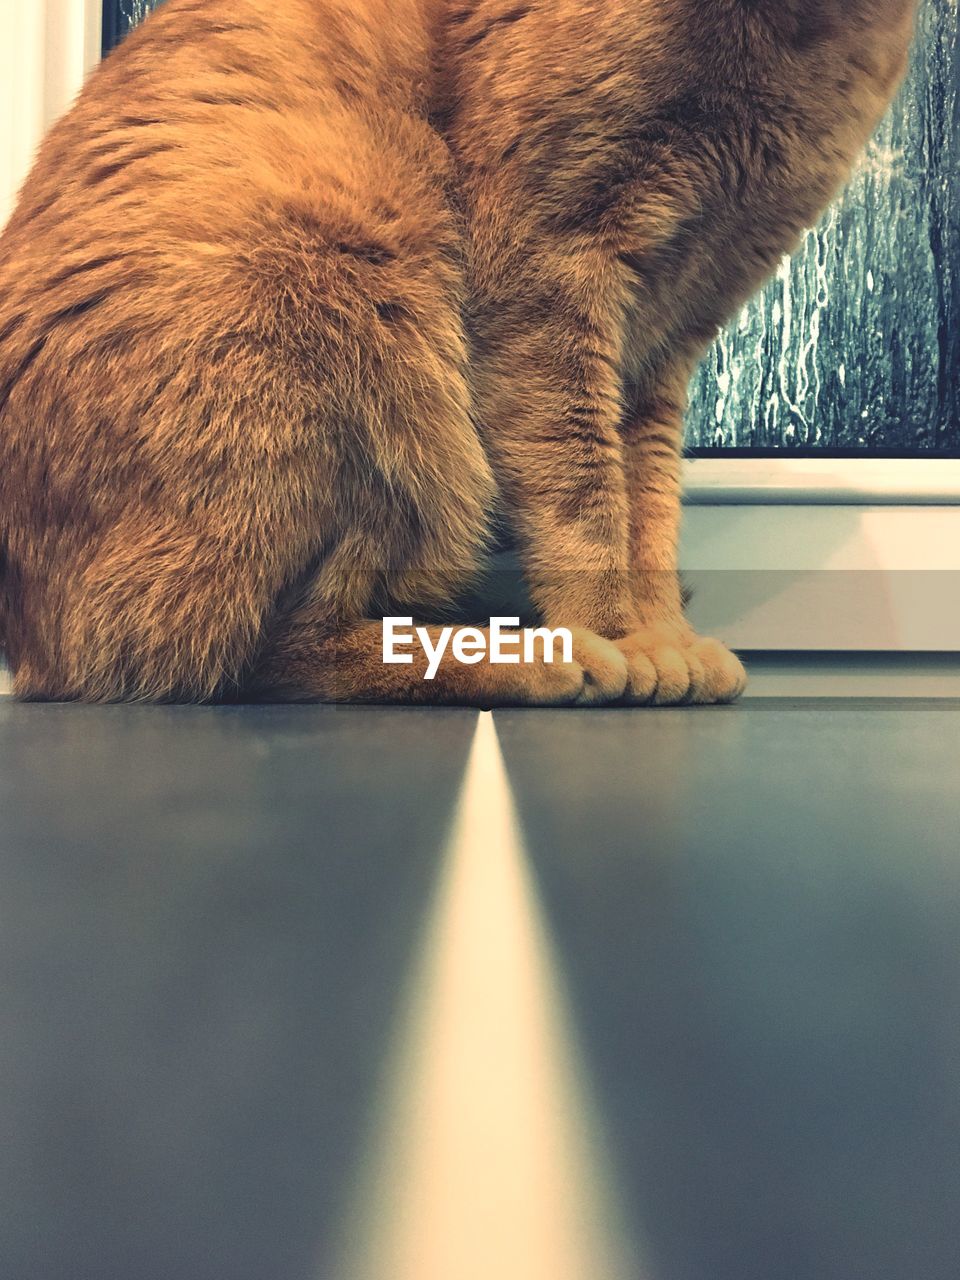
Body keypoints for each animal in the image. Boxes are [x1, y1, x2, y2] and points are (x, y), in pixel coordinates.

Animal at [0, 0, 916, 706]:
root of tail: (29, 640)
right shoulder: (550, 273)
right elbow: (586, 497)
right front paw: (621, 636)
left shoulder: (667, 341)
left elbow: (648, 509)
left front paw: (665, 630)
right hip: (357, 315)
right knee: (255, 655)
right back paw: (543, 658)